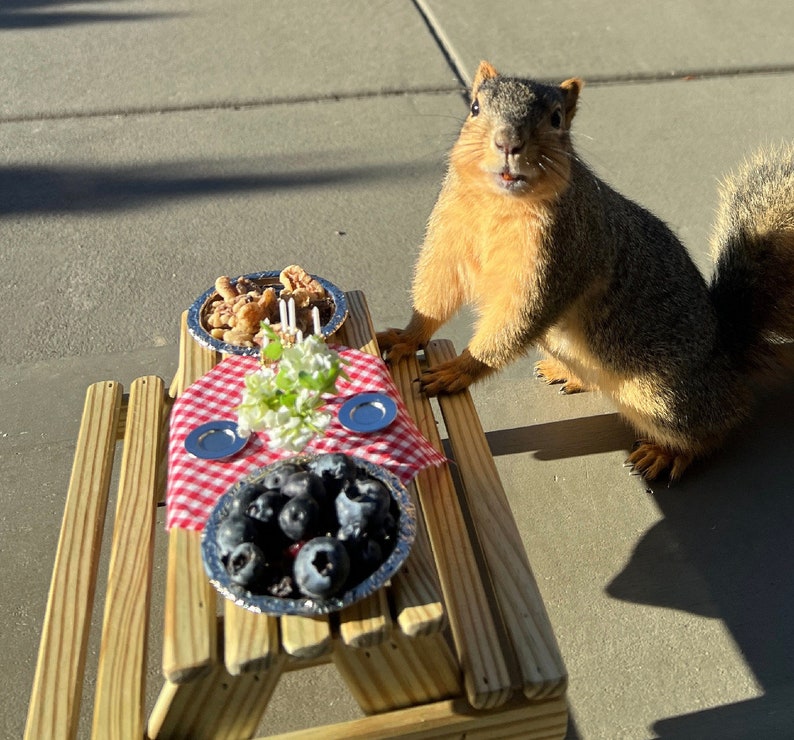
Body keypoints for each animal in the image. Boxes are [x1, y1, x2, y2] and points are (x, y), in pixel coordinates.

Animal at [377, 60, 794, 481]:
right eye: (475, 108)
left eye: (556, 118)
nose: (508, 143)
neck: (498, 205)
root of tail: (726, 352)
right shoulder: (449, 242)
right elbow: (436, 292)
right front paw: (407, 337)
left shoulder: (559, 260)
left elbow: (515, 323)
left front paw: (459, 369)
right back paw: (567, 374)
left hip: (666, 397)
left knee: (719, 425)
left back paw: (668, 453)